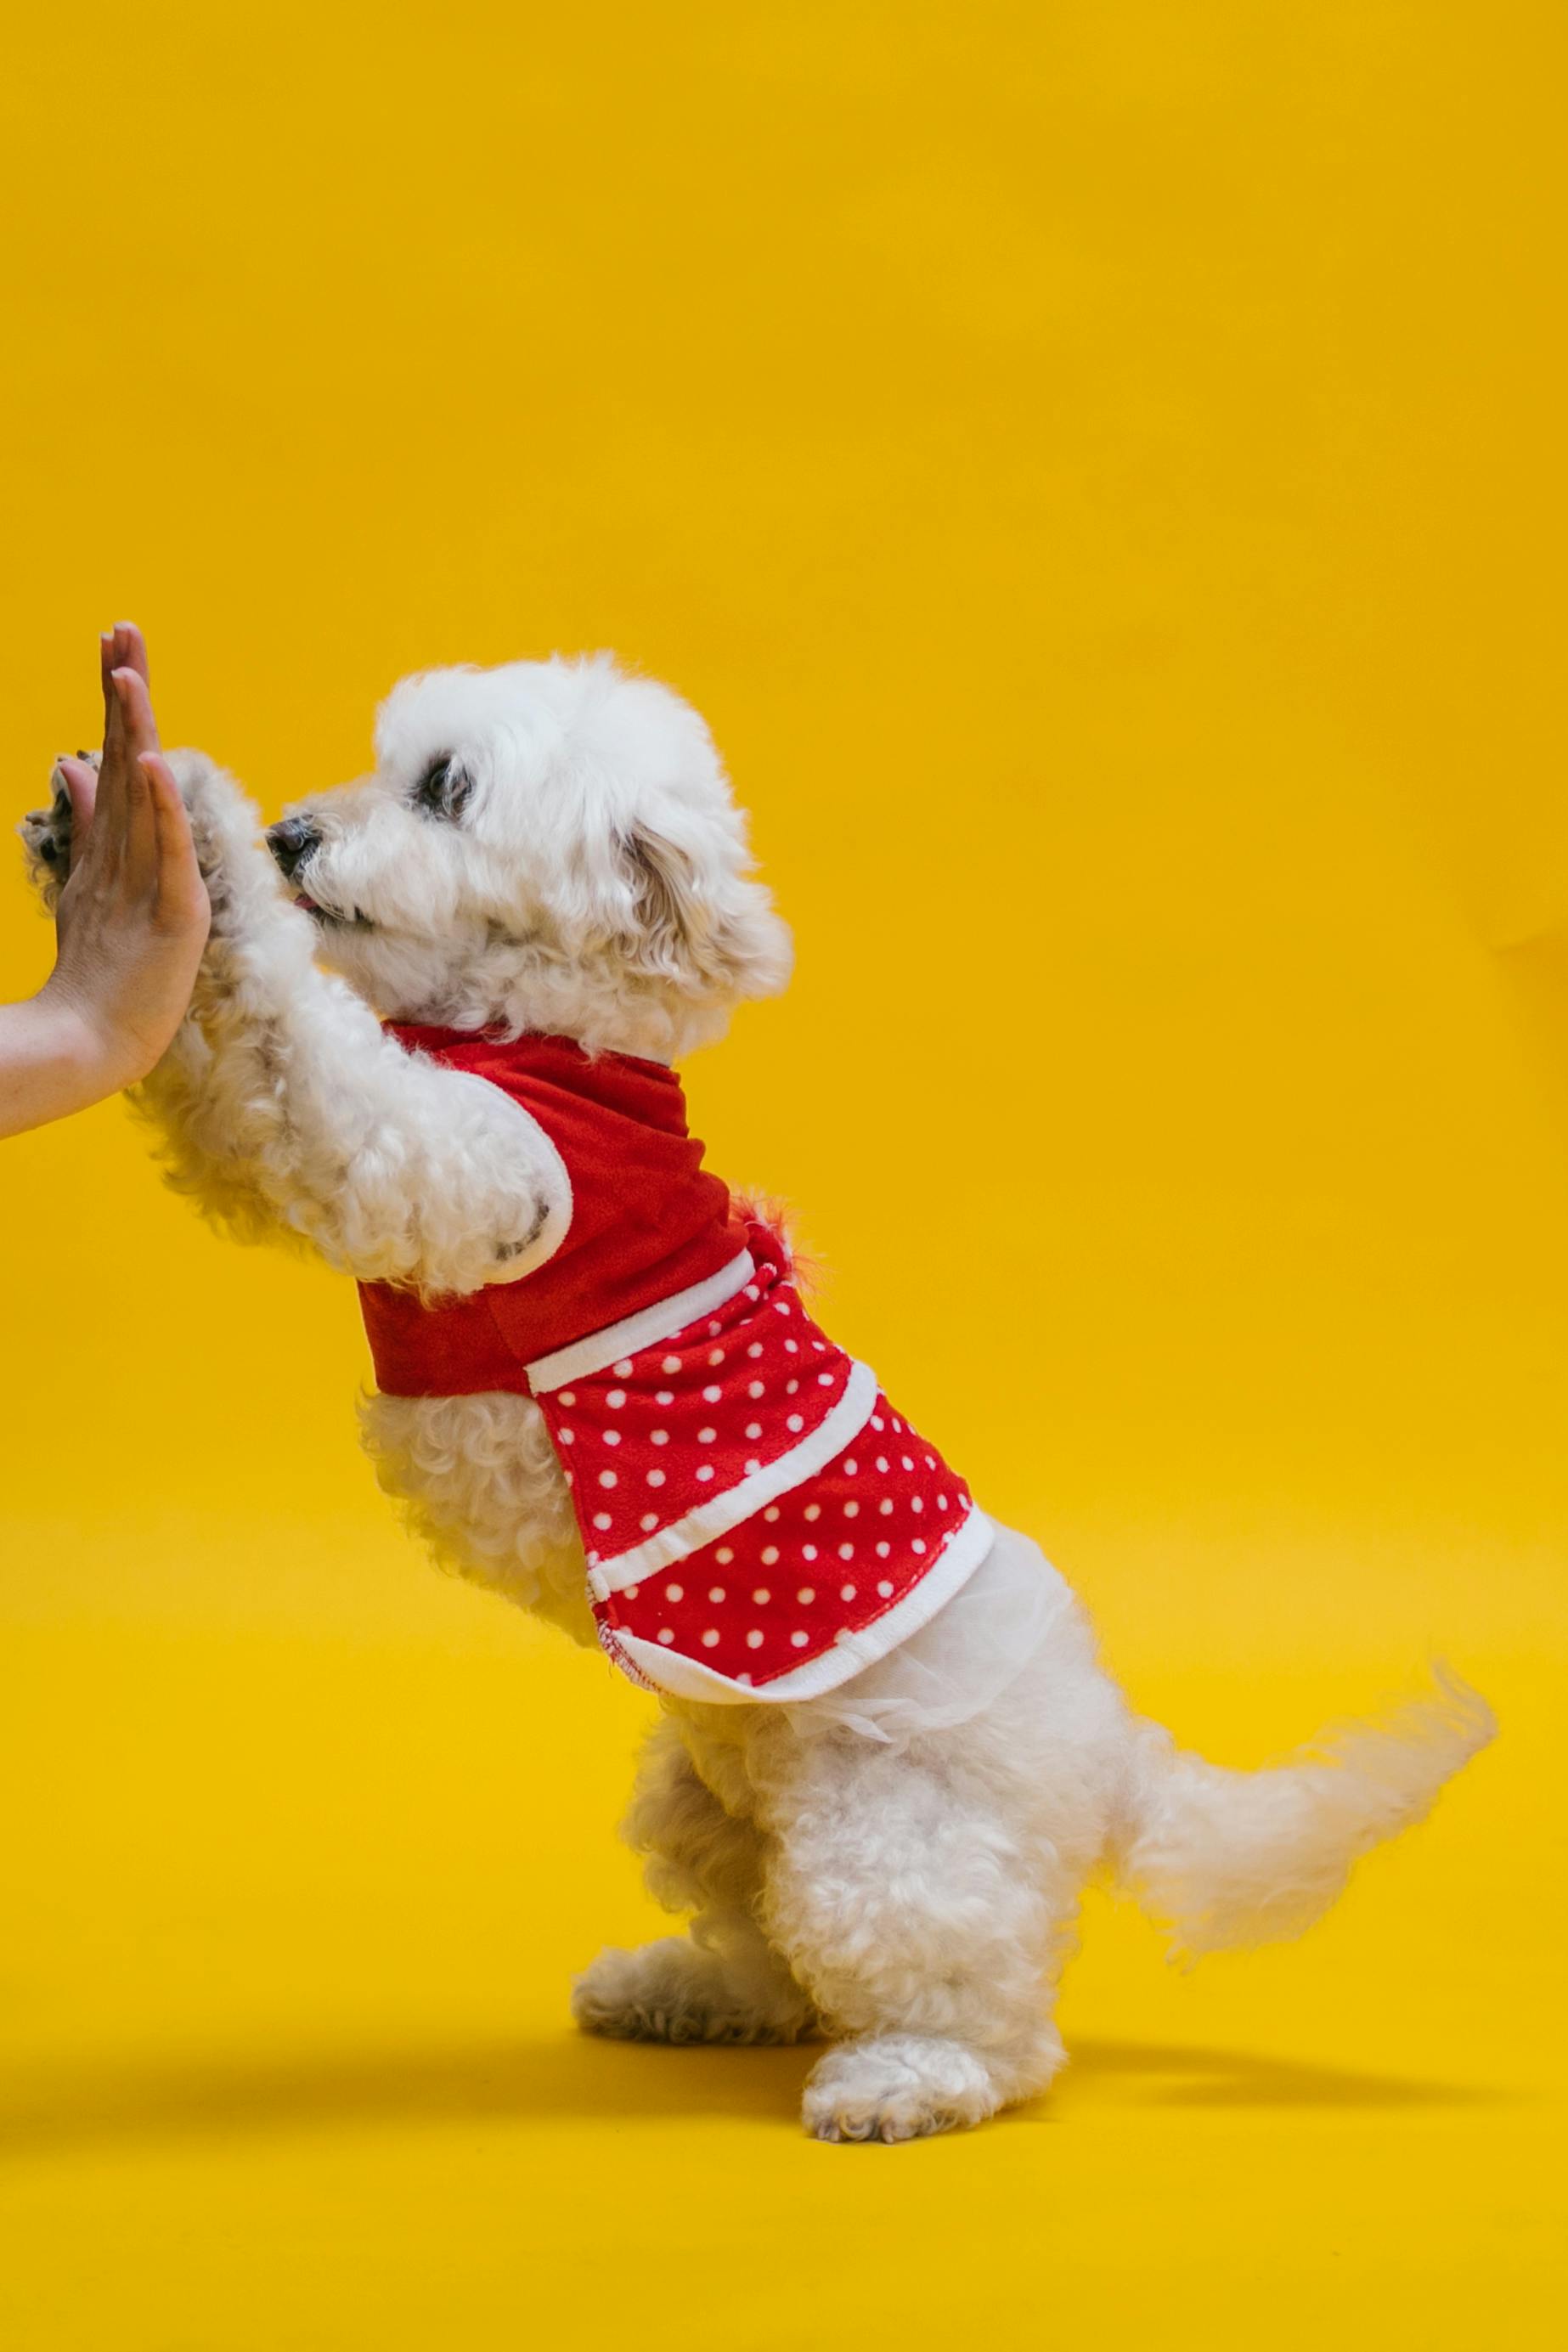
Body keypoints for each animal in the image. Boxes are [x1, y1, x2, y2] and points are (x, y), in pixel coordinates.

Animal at [24, 653, 1495, 2145]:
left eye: (444, 788)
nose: (294, 837)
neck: (549, 1029)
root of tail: (1112, 1747)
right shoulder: (293, 1138)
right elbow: (221, 1081)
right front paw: (101, 865)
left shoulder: (446, 1160)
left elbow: (298, 1043)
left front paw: (188, 833)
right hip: (703, 1801)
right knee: (771, 1952)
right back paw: (681, 1990)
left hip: (887, 1838)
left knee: (990, 2025)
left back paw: (904, 2079)